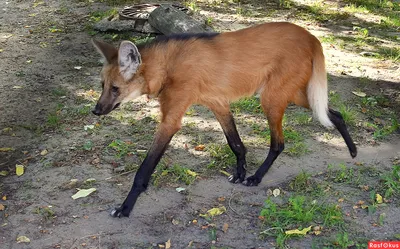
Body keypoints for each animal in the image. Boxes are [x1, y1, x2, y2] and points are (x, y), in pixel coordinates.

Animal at [91, 22, 356, 217]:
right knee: (334, 113)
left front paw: (125, 208)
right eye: (102, 85)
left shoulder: (171, 120)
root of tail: (311, 36)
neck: (167, 67)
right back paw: (352, 150)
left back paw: (257, 178)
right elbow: (235, 143)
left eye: (115, 89)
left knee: (279, 143)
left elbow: (144, 170)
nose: (96, 110)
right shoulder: (217, 102)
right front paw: (239, 173)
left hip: (271, 98)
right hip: (293, 93)